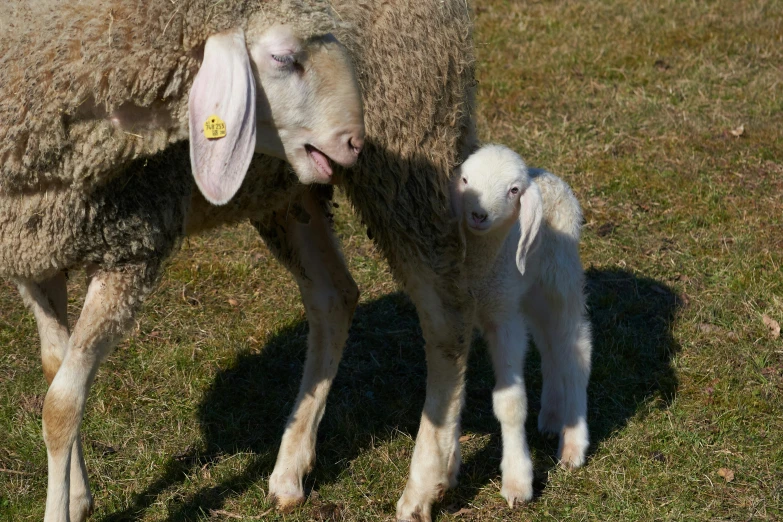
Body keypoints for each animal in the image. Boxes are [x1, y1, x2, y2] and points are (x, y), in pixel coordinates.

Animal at [454, 143, 596, 504]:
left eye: (513, 191)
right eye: (464, 180)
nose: (478, 215)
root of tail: (545, 175)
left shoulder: (504, 316)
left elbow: (510, 402)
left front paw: (517, 481)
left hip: (559, 280)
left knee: (575, 350)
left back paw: (573, 444)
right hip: (530, 293)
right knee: (549, 348)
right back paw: (552, 415)